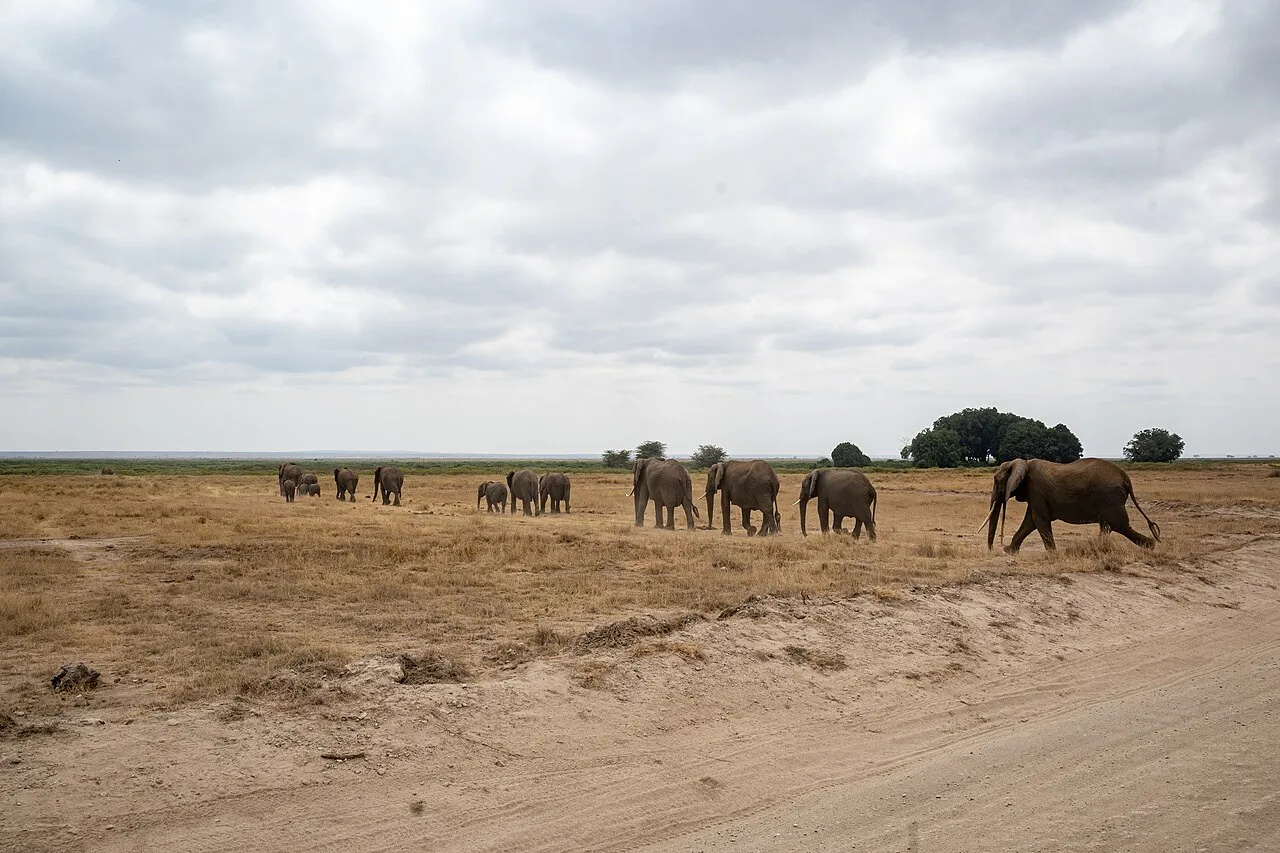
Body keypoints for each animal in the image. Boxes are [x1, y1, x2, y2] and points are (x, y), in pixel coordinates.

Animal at [984, 457, 1162, 553]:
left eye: (996, 481)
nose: (993, 549)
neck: (1023, 462)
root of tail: (1127, 479)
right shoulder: (1035, 494)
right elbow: (1031, 521)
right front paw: (1009, 551)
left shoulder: (1036, 489)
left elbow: (1039, 519)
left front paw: (1053, 554)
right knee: (1109, 526)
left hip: (1110, 498)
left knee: (1118, 525)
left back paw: (1150, 546)